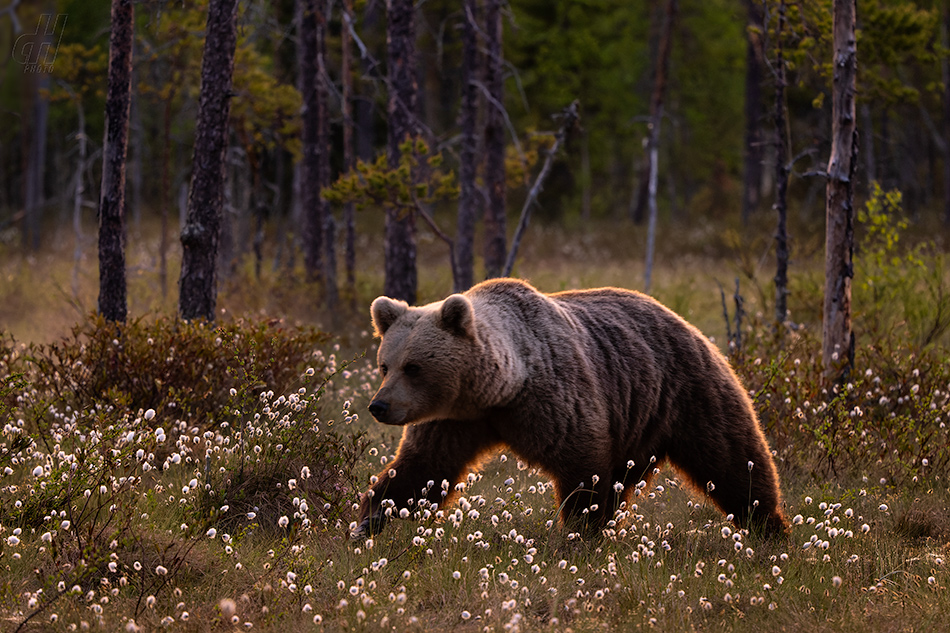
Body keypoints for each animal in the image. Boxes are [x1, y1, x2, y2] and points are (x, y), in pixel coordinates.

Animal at [356, 280, 788, 540]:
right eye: (385, 364)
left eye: (414, 367)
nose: (379, 406)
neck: (499, 389)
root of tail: (681, 319)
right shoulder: (455, 420)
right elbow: (422, 468)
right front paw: (371, 518)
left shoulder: (554, 397)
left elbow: (581, 463)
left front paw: (580, 529)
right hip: (637, 424)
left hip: (689, 392)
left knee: (734, 460)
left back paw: (769, 525)